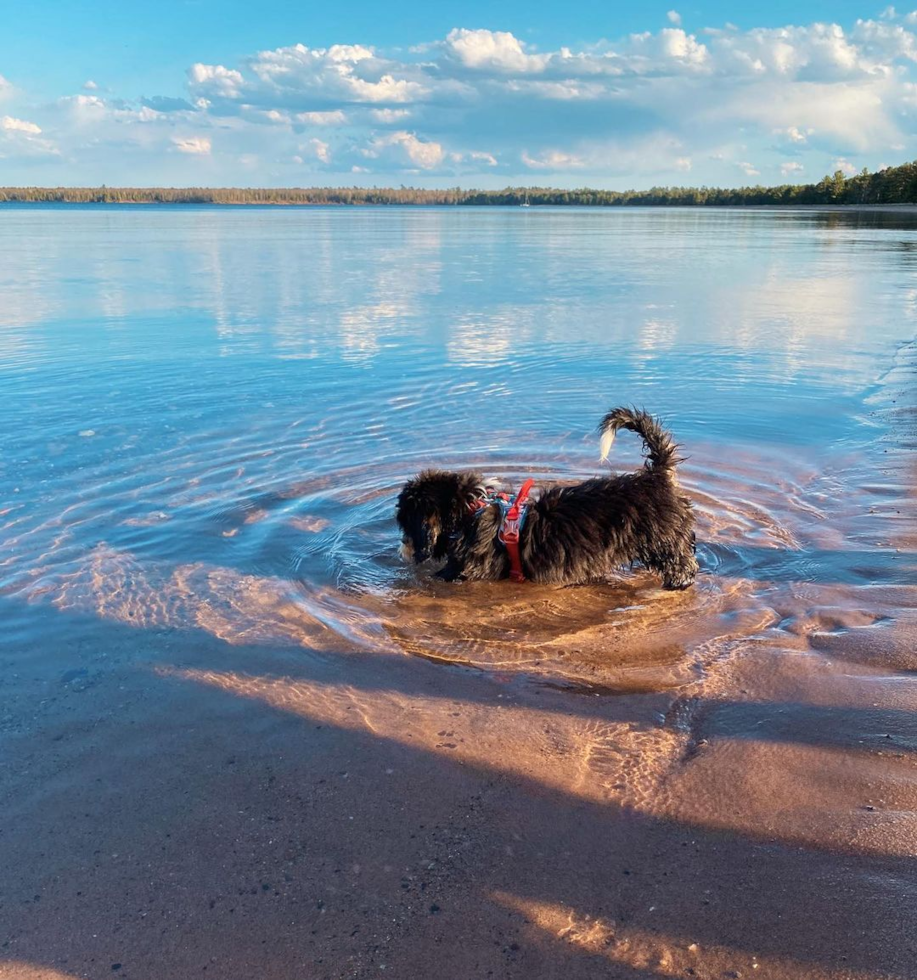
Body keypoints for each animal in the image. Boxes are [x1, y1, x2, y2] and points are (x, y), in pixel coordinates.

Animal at [392, 408, 696, 588]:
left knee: (683, 565)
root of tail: (657, 474)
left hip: (666, 543)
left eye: (405, 522)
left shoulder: (467, 570)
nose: (401, 549)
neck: (470, 511)